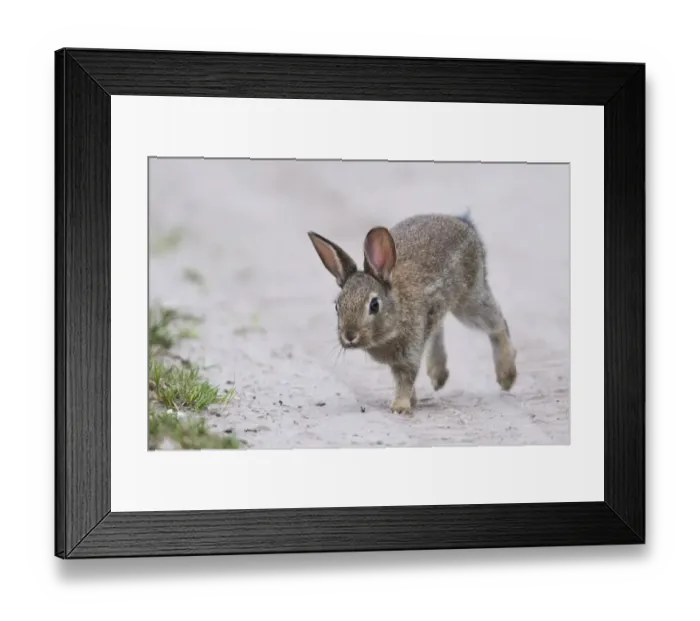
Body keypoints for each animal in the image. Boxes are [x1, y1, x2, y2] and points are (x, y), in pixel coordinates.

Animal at [307, 212, 517, 415]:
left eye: (374, 305)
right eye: (337, 306)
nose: (349, 336)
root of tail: (464, 224)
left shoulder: (409, 351)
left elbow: (405, 379)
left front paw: (400, 407)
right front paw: (412, 401)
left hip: (469, 300)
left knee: (497, 324)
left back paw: (507, 376)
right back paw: (438, 375)